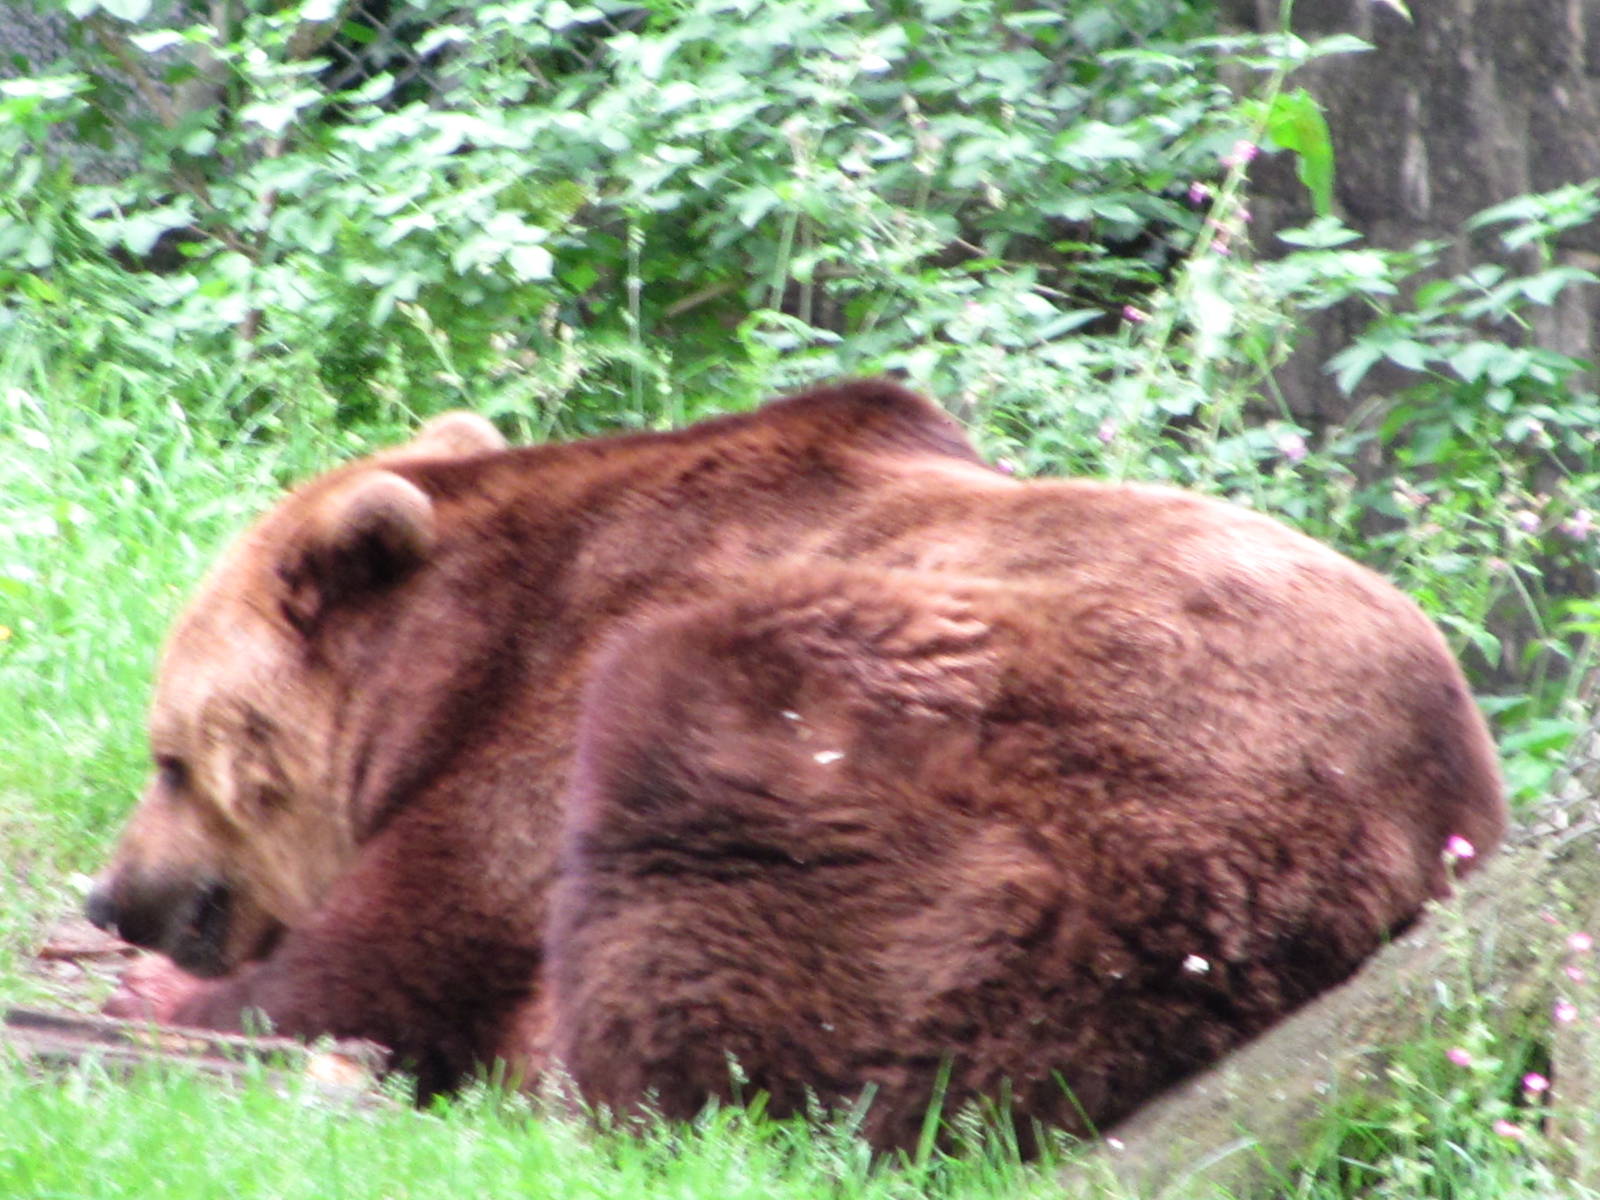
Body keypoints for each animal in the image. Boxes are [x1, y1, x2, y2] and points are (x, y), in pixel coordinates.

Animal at [85, 379, 1505, 1140]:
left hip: (1016, 786)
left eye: (170, 758)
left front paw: (168, 1004)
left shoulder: (548, 704)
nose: (114, 895)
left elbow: (390, 951)